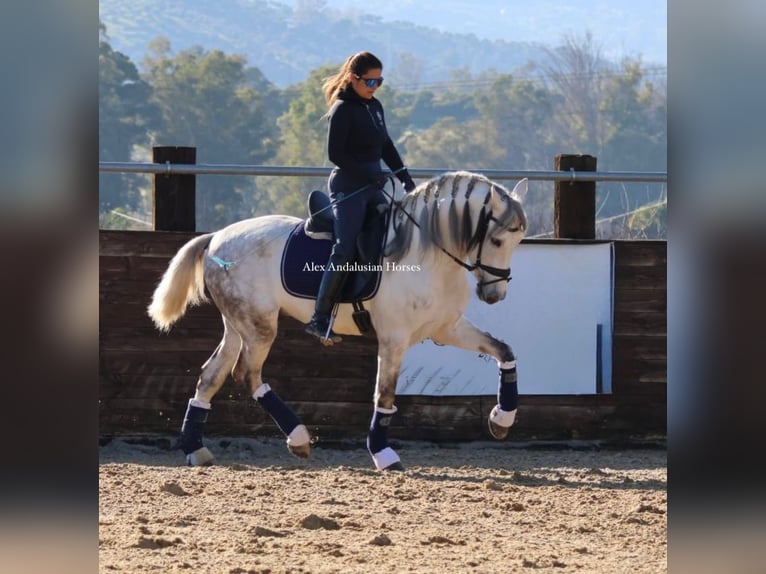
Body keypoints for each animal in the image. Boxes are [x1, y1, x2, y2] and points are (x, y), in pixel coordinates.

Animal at [147, 171, 528, 470]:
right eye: (496, 240)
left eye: (518, 241)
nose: (495, 295)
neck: (427, 254)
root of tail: (216, 238)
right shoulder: (394, 338)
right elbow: (384, 396)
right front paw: (383, 454)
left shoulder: (446, 328)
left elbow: (504, 351)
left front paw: (501, 420)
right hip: (259, 326)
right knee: (248, 374)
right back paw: (299, 438)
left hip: (237, 325)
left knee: (211, 375)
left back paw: (196, 449)